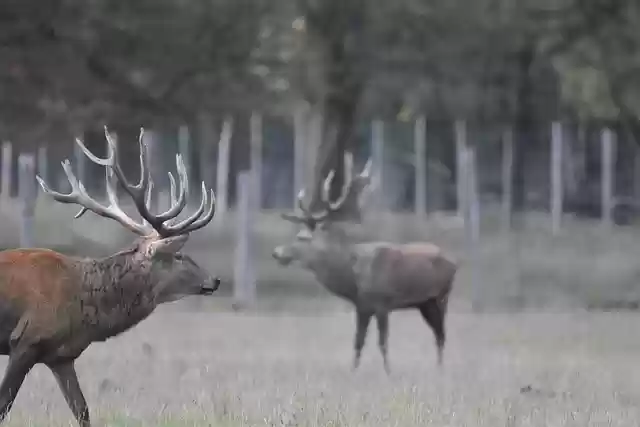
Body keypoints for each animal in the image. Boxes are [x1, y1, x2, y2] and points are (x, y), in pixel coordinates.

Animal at [0, 127, 220, 427]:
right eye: (178, 255)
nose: (214, 280)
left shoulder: (61, 356)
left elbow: (82, 411)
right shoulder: (25, 338)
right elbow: (4, 404)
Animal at [272, 152, 458, 373]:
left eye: (302, 238)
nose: (277, 252)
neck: (352, 279)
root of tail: (455, 263)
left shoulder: (382, 303)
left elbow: (382, 342)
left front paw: (388, 372)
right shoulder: (362, 306)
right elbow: (358, 341)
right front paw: (353, 371)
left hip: (441, 297)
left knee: (441, 335)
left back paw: (440, 369)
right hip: (425, 303)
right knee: (439, 334)